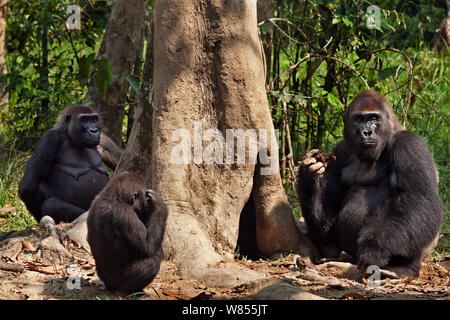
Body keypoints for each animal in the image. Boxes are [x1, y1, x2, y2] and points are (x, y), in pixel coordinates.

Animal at [298, 90, 442, 278]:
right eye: (359, 119)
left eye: (374, 118)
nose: (367, 132)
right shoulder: (340, 151)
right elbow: (327, 218)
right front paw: (308, 175)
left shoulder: (410, 145)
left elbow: (417, 198)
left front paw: (375, 250)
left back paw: (403, 267)